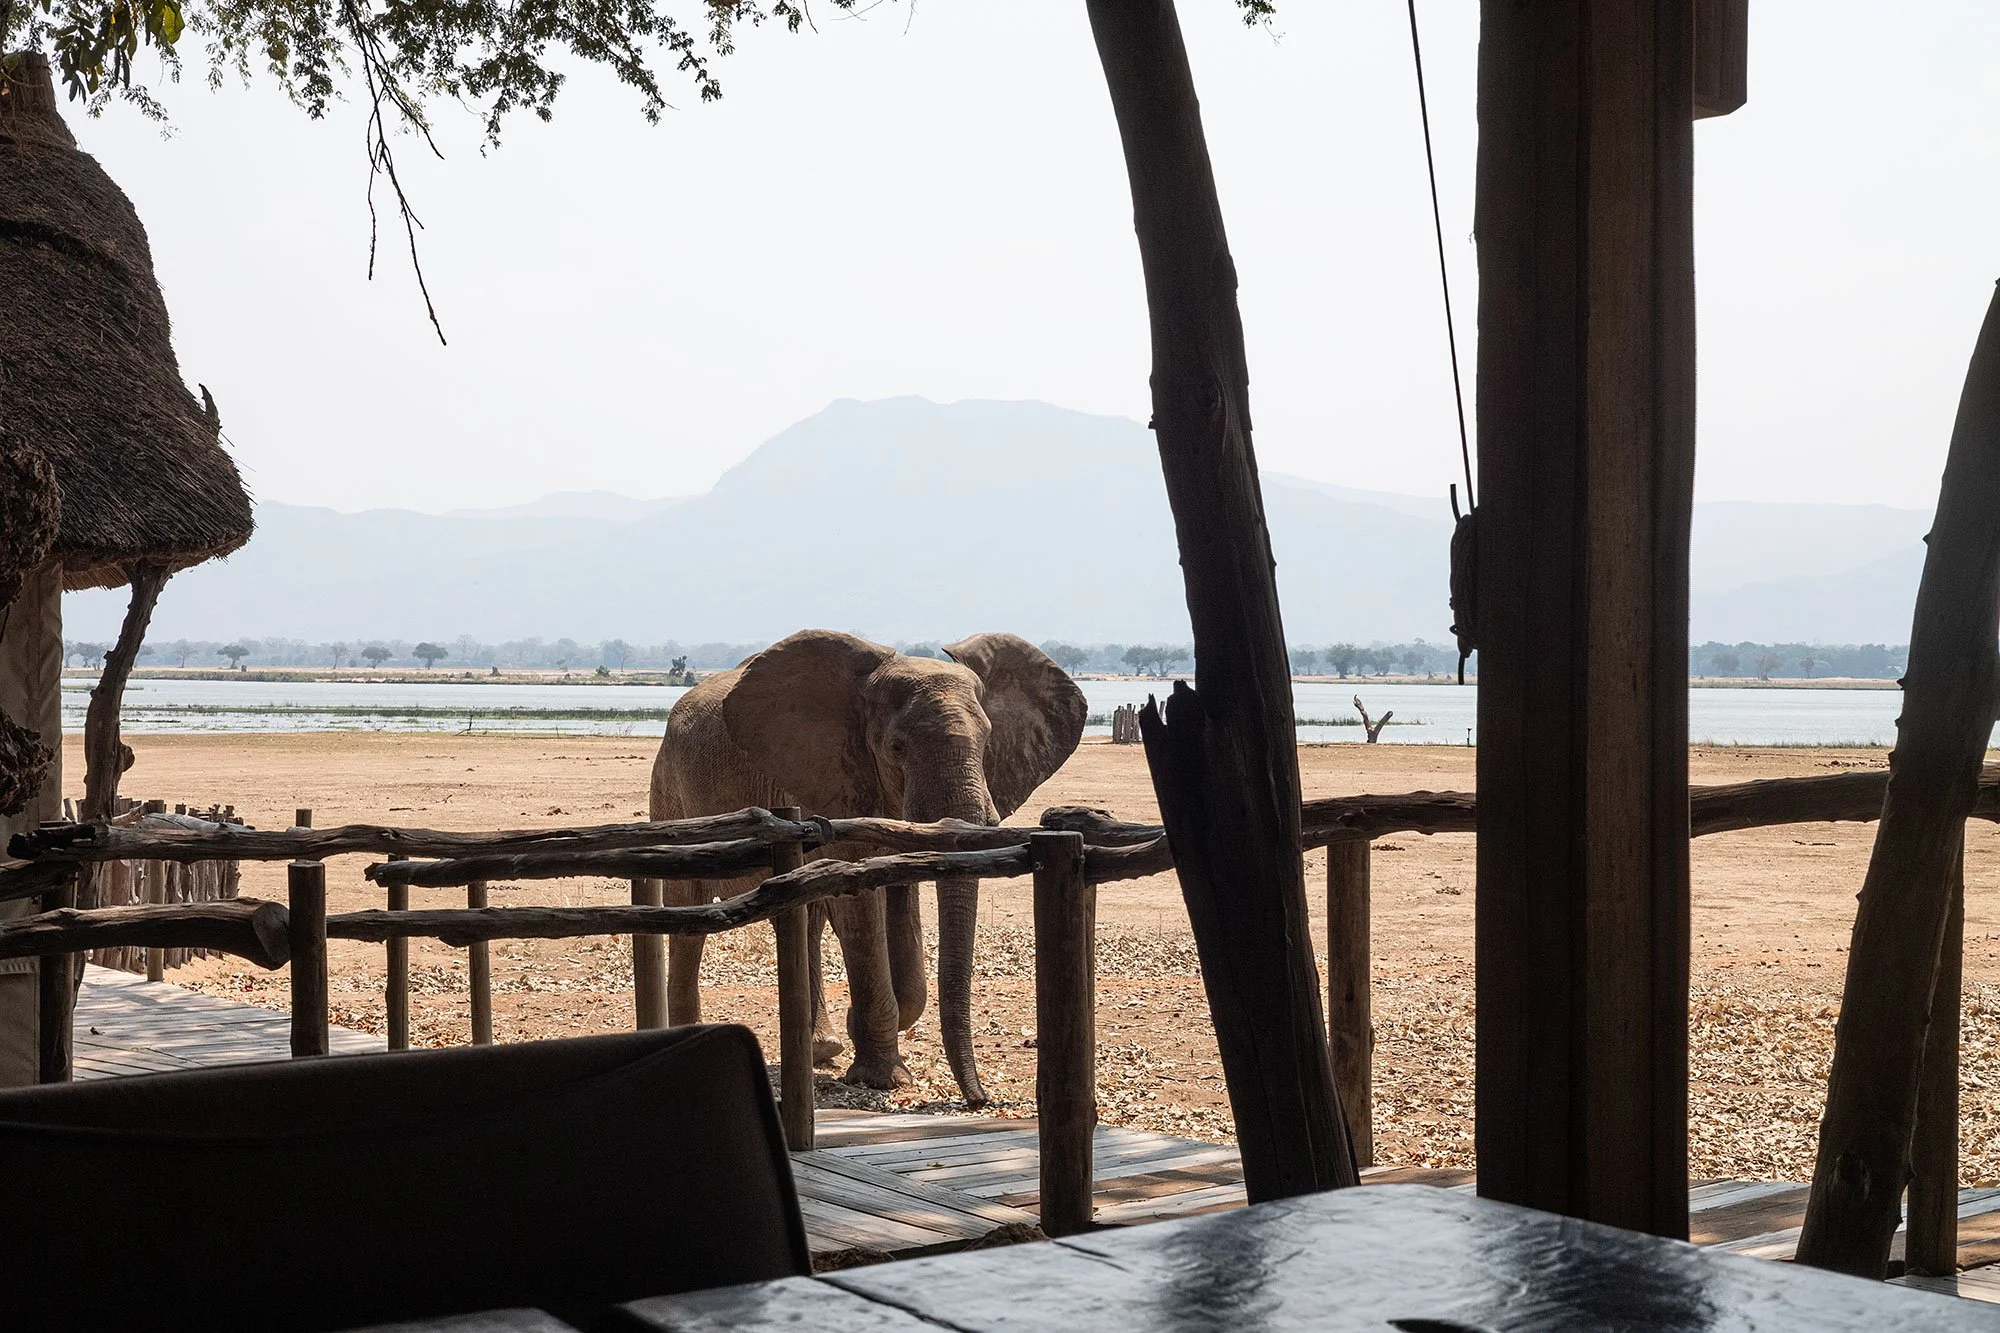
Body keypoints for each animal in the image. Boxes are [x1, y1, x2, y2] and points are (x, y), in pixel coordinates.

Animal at [648, 629, 1087, 1108]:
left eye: (988, 742)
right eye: (896, 748)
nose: (980, 1100)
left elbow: (898, 900)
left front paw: (868, 1029)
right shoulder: (828, 779)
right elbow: (858, 898)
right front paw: (884, 1078)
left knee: (804, 915)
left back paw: (821, 1049)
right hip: (670, 788)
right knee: (690, 908)